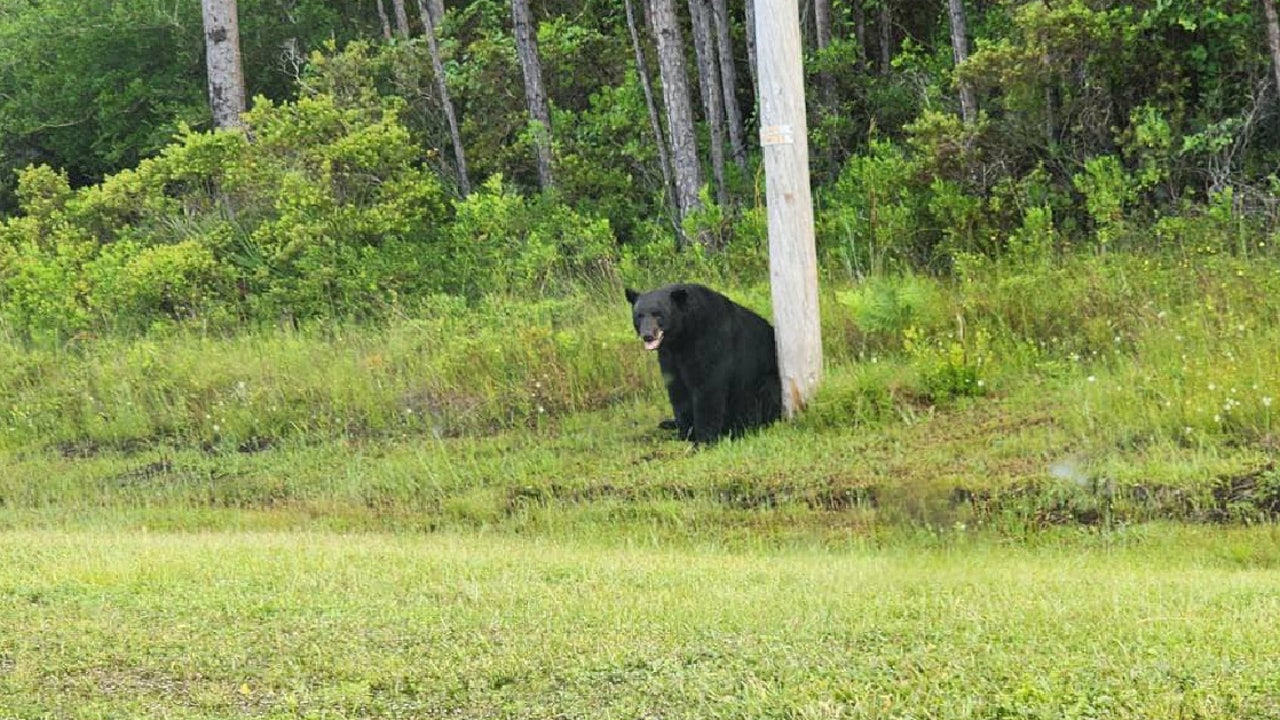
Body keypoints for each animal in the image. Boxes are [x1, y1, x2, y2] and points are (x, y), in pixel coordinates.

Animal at [625, 283, 782, 443]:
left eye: (658, 314)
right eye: (639, 315)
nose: (647, 335)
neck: (682, 338)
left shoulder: (710, 342)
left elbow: (707, 387)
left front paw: (704, 440)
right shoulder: (669, 357)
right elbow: (678, 390)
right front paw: (686, 434)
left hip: (764, 381)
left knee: (765, 396)